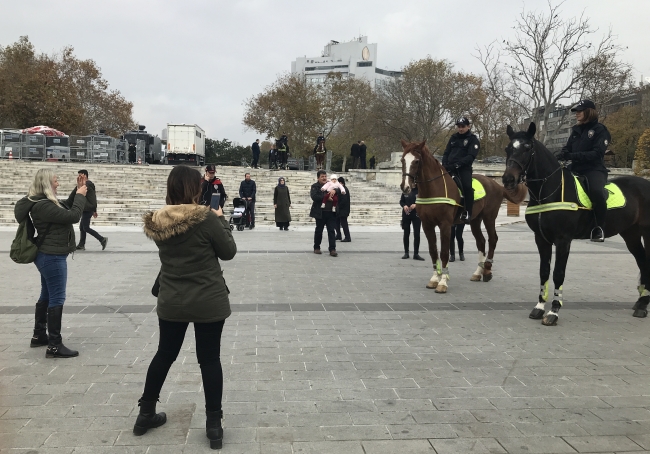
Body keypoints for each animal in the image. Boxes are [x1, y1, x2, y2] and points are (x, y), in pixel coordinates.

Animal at [400, 140, 528, 292]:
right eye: (402, 160)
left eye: (417, 161)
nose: (405, 187)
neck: (433, 189)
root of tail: (497, 185)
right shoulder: (427, 225)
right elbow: (433, 251)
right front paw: (434, 279)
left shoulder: (445, 225)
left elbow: (444, 252)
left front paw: (443, 282)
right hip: (475, 220)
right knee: (481, 242)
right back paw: (478, 272)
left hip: (489, 218)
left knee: (493, 239)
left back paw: (487, 270)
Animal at [502, 122, 648, 324]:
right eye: (508, 148)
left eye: (527, 147)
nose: (508, 179)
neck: (550, 192)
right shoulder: (541, 239)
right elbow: (544, 272)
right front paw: (539, 307)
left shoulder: (563, 240)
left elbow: (558, 273)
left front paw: (554, 311)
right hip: (631, 234)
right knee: (642, 260)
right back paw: (641, 302)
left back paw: (643, 304)